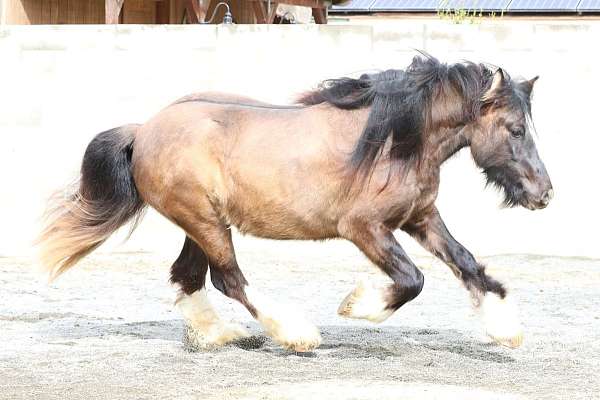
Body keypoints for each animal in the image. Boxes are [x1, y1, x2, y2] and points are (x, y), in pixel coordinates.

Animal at [38, 54, 552, 352]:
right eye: (515, 130)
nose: (544, 194)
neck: (392, 141)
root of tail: (144, 129)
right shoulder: (364, 228)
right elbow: (412, 280)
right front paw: (357, 306)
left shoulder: (420, 218)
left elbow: (466, 263)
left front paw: (505, 329)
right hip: (204, 220)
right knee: (228, 279)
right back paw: (295, 333)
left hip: (200, 221)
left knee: (189, 277)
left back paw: (221, 336)